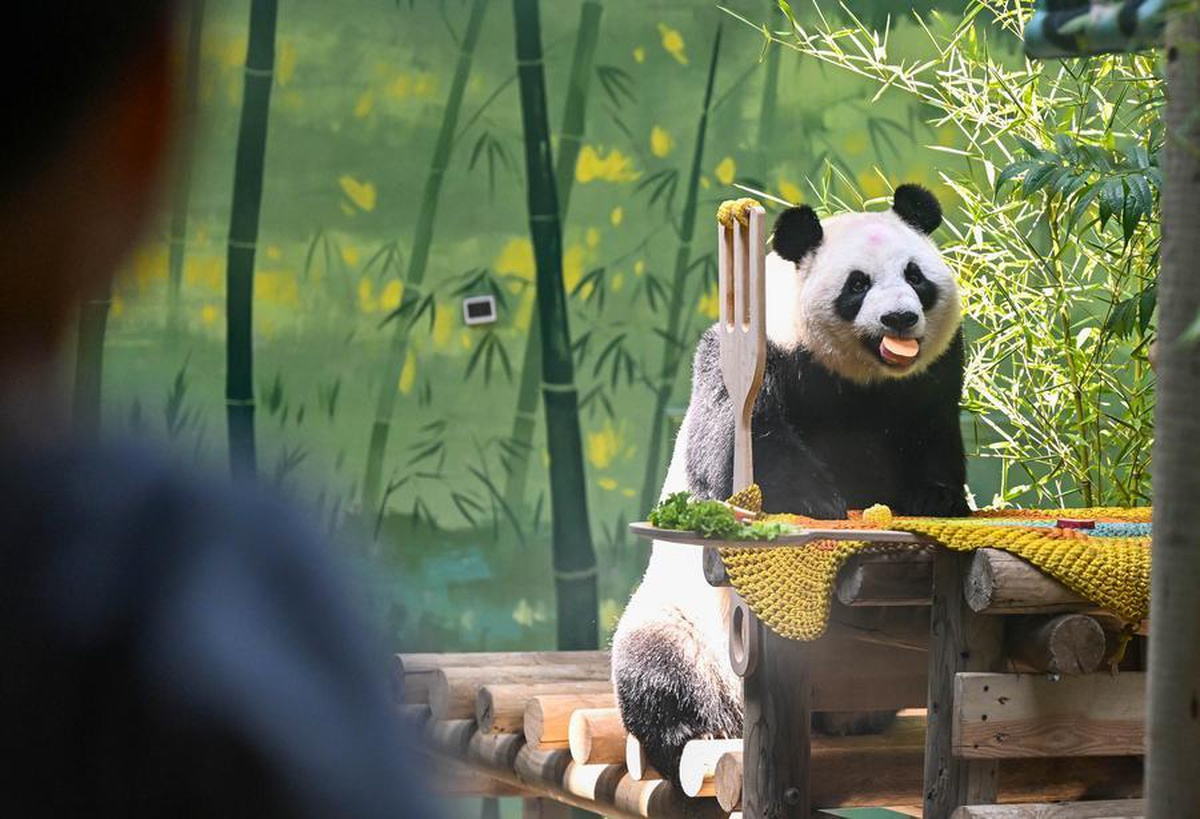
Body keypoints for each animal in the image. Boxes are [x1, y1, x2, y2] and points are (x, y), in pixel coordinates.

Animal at [611, 184, 969, 786]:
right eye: (857, 284)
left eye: (915, 274)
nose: (900, 318)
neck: (860, 378)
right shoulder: (762, 354)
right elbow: (735, 442)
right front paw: (814, 500)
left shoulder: (931, 377)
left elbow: (936, 437)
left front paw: (933, 499)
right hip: (681, 624)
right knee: (652, 668)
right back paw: (686, 735)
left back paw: (857, 718)